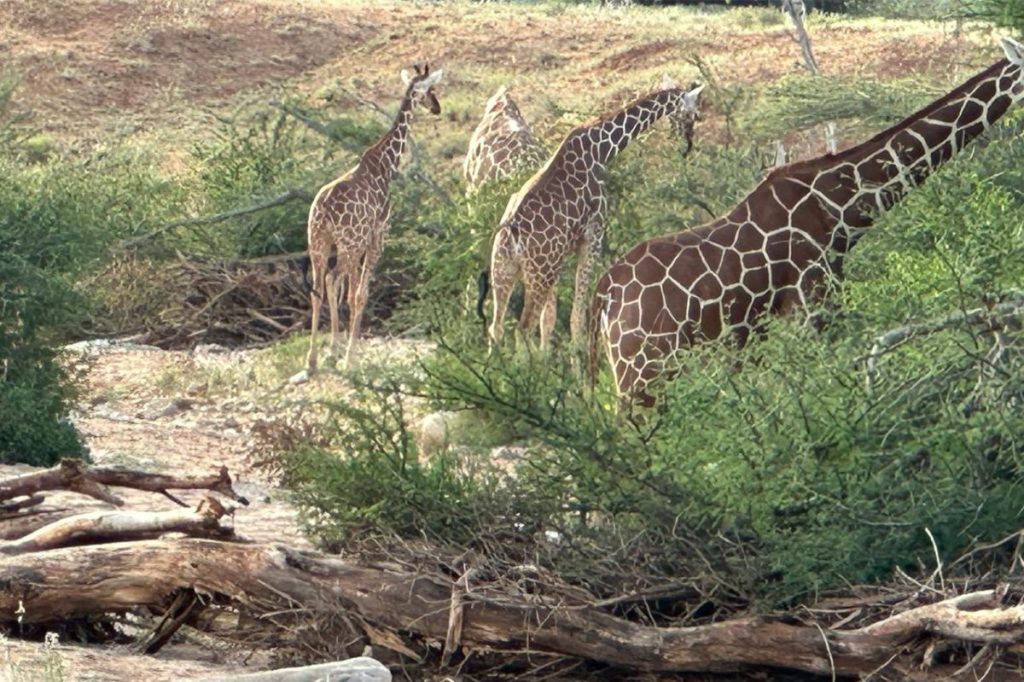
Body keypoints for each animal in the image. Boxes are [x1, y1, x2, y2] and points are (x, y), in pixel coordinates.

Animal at [305, 64, 446, 374]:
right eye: (430, 90)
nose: (437, 108)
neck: (385, 163)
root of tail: (324, 209)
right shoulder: (377, 236)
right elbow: (360, 294)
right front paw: (351, 356)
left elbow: (348, 291)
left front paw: (338, 351)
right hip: (349, 244)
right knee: (339, 285)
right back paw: (339, 356)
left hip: (317, 243)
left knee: (319, 288)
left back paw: (313, 359)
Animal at [477, 79, 704, 350]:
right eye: (692, 113)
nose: (687, 145)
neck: (601, 147)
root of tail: (510, 234)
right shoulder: (593, 235)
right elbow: (576, 318)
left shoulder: (564, 254)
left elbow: (550, 321)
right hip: (538, 273)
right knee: (523, 329)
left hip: (504, 269)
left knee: (497, 327)